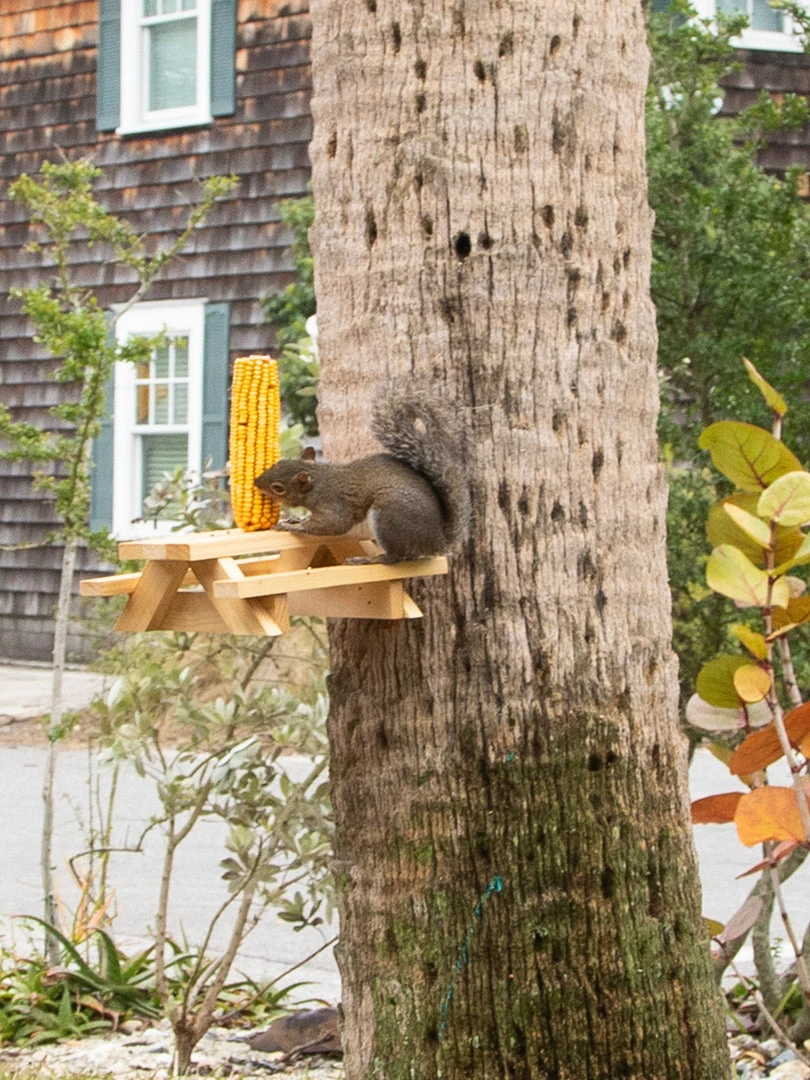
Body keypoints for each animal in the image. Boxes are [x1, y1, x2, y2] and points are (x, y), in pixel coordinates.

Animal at [254, 389, 471, 564]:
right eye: (277, 463)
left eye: (278, 487)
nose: (256, 482)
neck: (319, 481)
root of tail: (437, 540)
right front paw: (293, 520)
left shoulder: (333, 503)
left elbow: (334, 524)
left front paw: (294, 527)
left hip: (389, 517)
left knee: (396, 557)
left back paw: (368, 560)